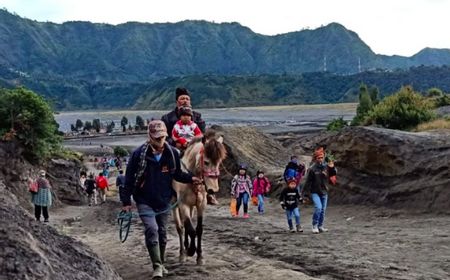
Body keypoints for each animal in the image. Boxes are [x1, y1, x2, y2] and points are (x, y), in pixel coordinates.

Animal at [173, 130, 229, 266]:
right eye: (207, 162)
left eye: (219, 162)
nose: (213, 190)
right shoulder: (183, 205)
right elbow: (191, 230)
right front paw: (191, 251)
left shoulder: (200, 205)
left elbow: (198, 229)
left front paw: (199, 256)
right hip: (175, 205)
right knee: (180, 228)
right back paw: (183, 253)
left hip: (192, 207)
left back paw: (186, 246)